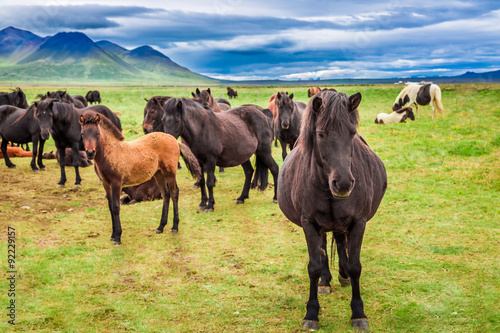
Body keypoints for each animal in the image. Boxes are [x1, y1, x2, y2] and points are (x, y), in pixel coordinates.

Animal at [80, 111, 201, 244]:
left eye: (97, 133)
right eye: (83, 133)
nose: (90, 153)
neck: (111, 152)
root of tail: (174, 140)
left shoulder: (116, 183)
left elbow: (116, 207)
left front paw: (118, 237)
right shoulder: (106, 184)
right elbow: (111, 207)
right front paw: (112, 235)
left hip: (170, 173)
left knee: (174, 193)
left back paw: (174, 227)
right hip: (159, 174)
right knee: (166, 194)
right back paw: (160, 227)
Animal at [278, 89, 386, 330]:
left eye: (352, 132)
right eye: (320, 134)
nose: (343, 183)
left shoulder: (358, 222)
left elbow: (355, 266)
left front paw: (358, 313)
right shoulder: (309, 223)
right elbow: (314, 265)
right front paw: (311, 313)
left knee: (338, 239)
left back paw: (342, 275)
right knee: (325, 247)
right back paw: (325, 282)